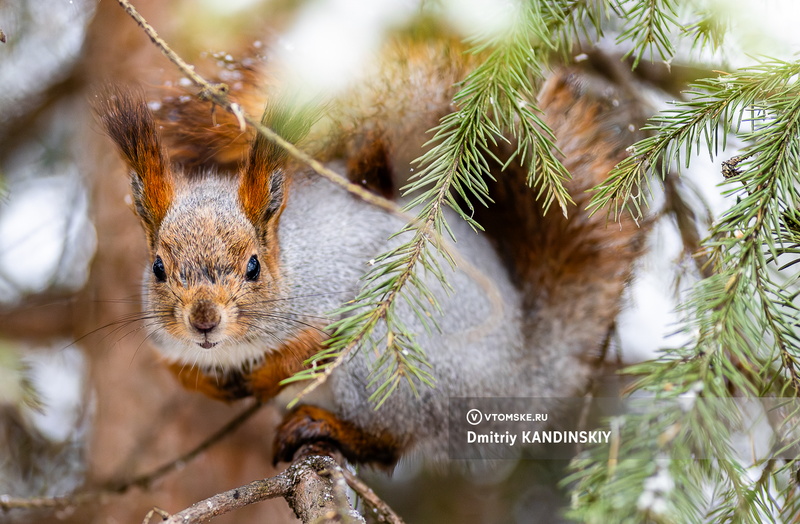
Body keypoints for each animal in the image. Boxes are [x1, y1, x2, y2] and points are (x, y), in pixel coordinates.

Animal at [95, 39, 644, 468]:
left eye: (252, 266)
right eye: (158, 268)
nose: (204, 321)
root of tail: (521, 374)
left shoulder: (334, 292)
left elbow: (312, 347)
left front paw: (269, 376)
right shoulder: (164, 338)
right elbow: (174, 367)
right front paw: (208, 383)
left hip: (391, 358)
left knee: (393, 440)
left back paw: (328, 428)